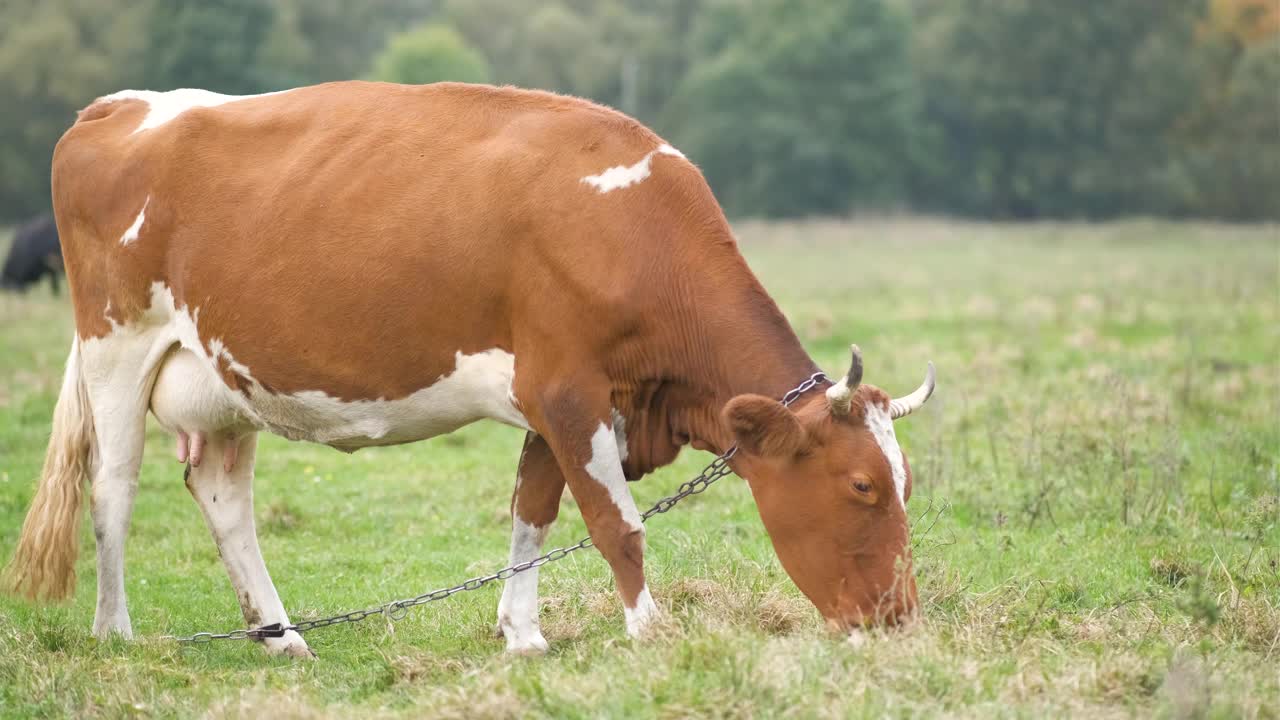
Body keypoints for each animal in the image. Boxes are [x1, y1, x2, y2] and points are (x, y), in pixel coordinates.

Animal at [5, 81, 936, 653]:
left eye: (906, 483)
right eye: (862, 485)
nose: (898, 618)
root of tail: (121, 106)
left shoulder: (561, 402)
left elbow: (533, 512)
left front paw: (522, 634)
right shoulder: (565, 391)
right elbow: (617, 524)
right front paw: (650, 630)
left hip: (227, 382)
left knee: (223, 500)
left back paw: (282, 637)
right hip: (117, 349)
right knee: (112, 489)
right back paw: (117, 631)